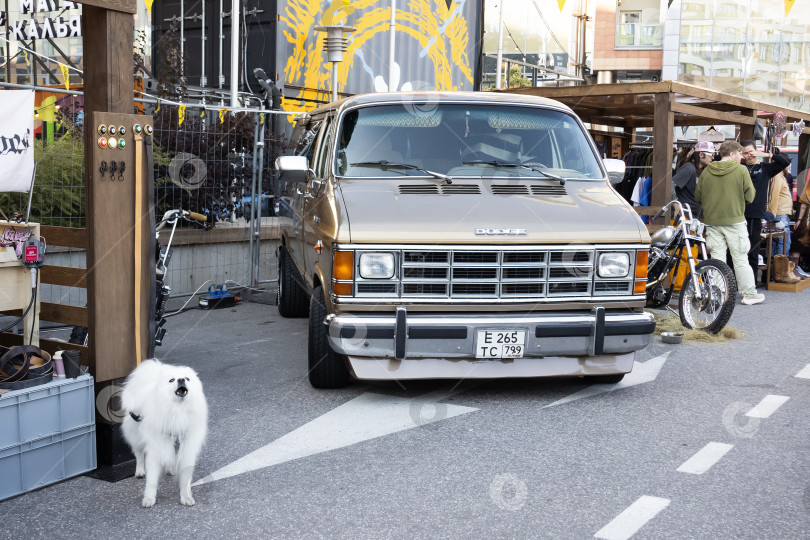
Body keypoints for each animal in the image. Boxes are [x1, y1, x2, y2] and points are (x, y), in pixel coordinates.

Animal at [121, 358, 208, 506]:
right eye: (172, 380)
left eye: (187, 378)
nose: (181, 379)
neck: (178, 410)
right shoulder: (155, 451)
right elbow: (151, 481)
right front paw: (149, 499)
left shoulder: (186, 449)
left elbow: (185, 480)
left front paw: (186, 497)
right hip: (136, 437)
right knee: (139, 455)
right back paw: (140, 471)